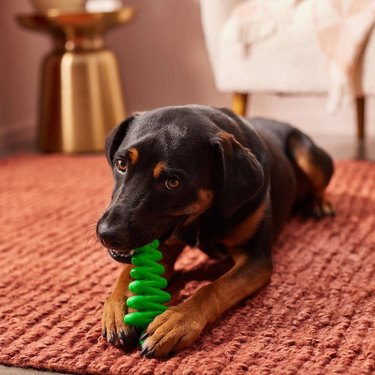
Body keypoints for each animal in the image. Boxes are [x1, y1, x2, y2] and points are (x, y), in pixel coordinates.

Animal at [97, 105, 334, 358]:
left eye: (173, 182)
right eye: (121, 164)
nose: (107, 234)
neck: (204, 216)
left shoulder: (256, 260)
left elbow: (212, 288)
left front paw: (176, 321)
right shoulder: (167, 244)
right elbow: (127, 273)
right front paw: (120, 306)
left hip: (307, 154)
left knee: (318, 183)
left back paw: (319, 203)